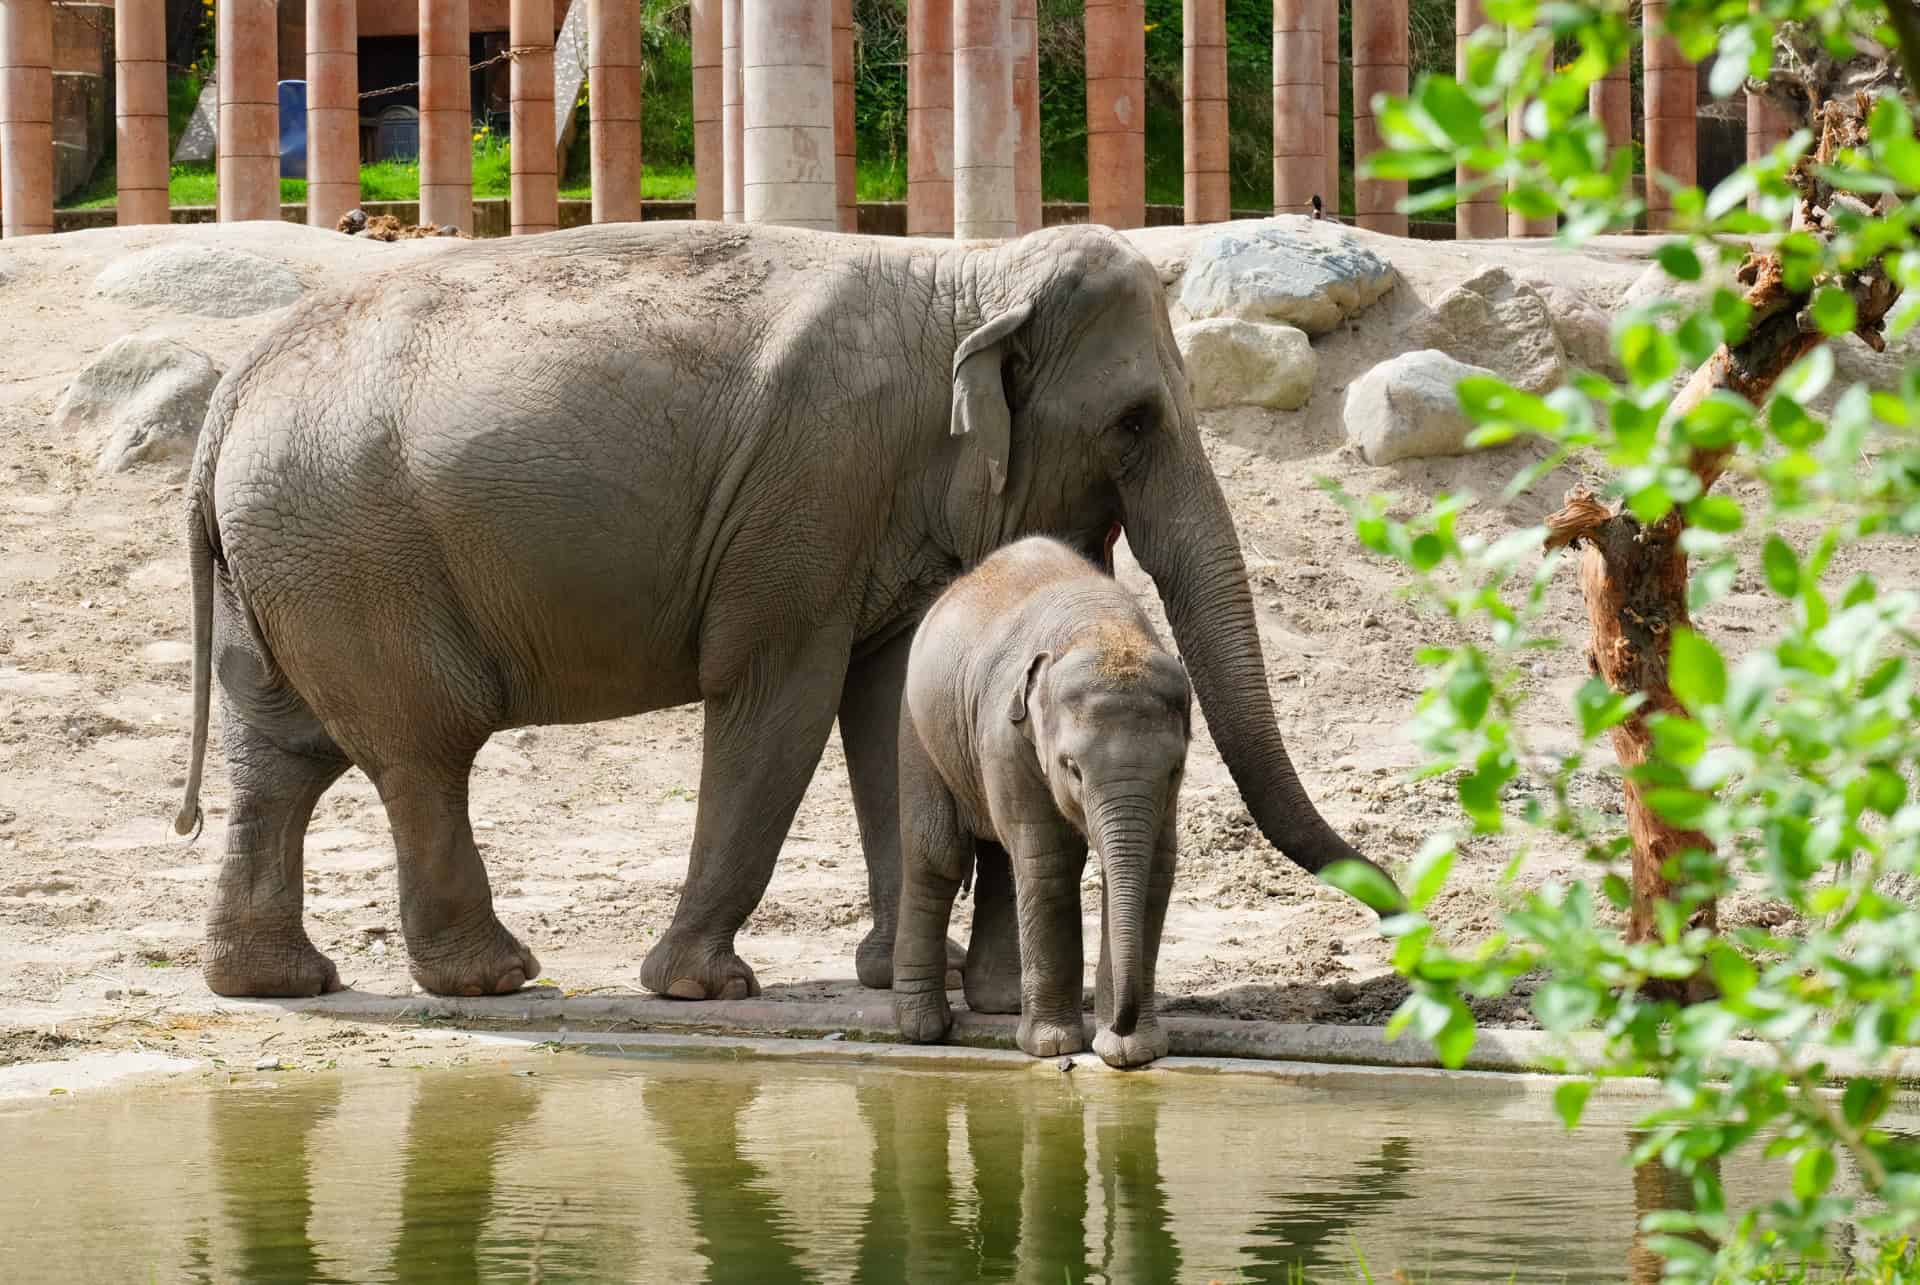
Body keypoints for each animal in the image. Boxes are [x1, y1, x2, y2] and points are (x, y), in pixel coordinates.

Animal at [171, 218, 1396, 1002]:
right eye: (1136, 422)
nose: (1396, 913)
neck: (966, 273)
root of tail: (230, 398)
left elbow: (884, 705)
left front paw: (911, 976)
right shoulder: (811, 492)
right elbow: (780, 703)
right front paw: (701, 986)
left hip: (286, 563)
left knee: (278, 756)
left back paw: (275, 982)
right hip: (357, 558)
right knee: (421, 752)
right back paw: (494, 977)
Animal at [894, 536, 1189, 1068]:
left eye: (1175, 769)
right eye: (1072, 768)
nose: (1120, 1020)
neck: (1100, 628)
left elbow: (1156, 867)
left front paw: (1130, 1053)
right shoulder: (1007, 734)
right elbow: (1052, 861)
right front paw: (1054, 1048)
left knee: (1002, 858)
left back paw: (1002, 1005)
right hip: (919, 728)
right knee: (939, 857)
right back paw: (922, 1029)